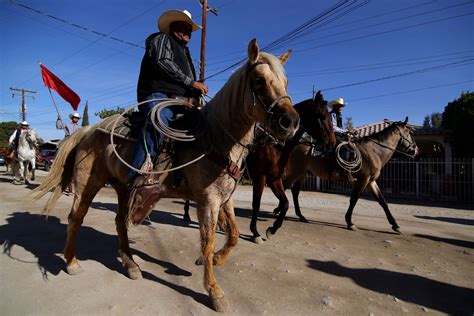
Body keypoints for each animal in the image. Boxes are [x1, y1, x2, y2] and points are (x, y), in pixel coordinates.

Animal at [32, 39, 300, 312]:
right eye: (258, 80)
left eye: (286, 82)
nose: (290, 122)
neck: (215, 138)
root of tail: (88, 130)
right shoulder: (208, 201)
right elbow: (208, 242)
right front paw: (214, 291)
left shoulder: (225, 198)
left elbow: (233, 235)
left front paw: (215, 260)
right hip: (88, 184)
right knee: (76, 218)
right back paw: (72, 262)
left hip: (122, 187)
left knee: (120, 222)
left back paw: (130, 264)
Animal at [246, 90, 336, 243]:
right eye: (322, 116)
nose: (332, 141)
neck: (274, 146)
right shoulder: (260, 177)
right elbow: (256, 203)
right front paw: (255, 232)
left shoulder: (274, 179)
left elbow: (286, 203)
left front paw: (272, 229)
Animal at [284, 117, 416, 233]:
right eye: (408, 132)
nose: (416, 150)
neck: (374, 151)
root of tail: (296, 145)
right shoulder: (362, 180)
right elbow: (354, 199)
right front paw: (350, 222)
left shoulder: (371, 181)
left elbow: (382, 201)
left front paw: (395, 225)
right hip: (295, 172)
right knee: (285, 186)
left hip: (302, 174)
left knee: (295, 191)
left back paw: (301, 216)